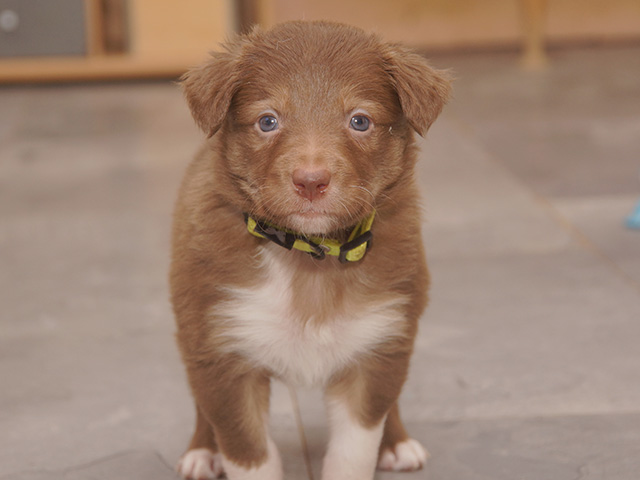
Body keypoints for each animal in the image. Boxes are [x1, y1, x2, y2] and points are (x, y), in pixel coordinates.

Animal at [170, 20, 451, 480]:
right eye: (268, 121)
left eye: (360, 121)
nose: (311, 181)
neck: (309, 256)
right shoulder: (223, 350)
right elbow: (249, 453)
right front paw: (221, 451)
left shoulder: (377, 343)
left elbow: (354, 449)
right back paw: (201, 450)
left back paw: (397, 442)